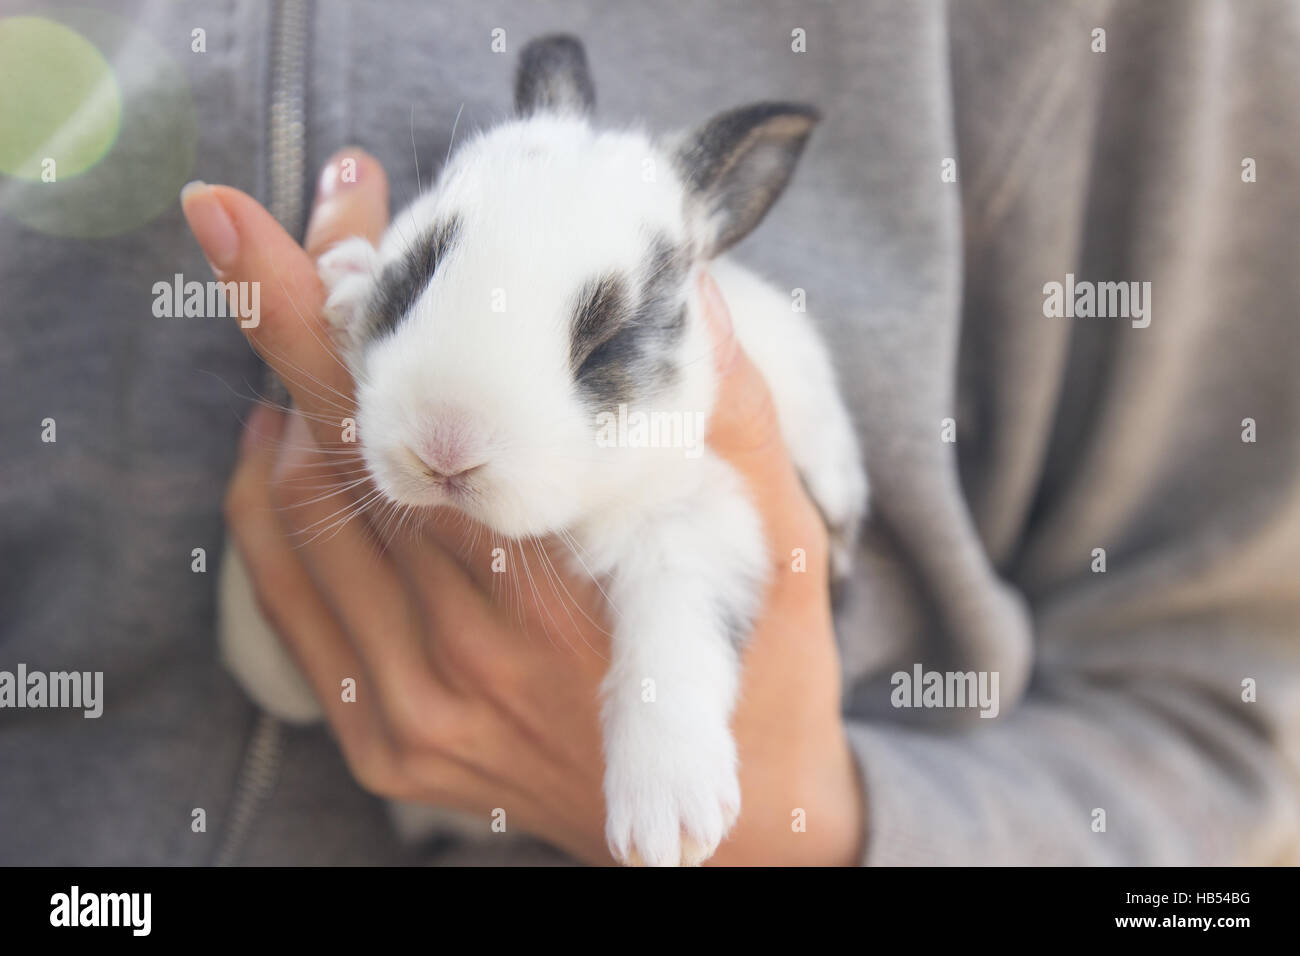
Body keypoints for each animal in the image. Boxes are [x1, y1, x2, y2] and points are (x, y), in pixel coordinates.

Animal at [218, 34, 867, 866]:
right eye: (418, 272)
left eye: (610, 340)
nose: (446, 445)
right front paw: (346, 279)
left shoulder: (708, 516)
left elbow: (676, 635)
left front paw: (668, 818)